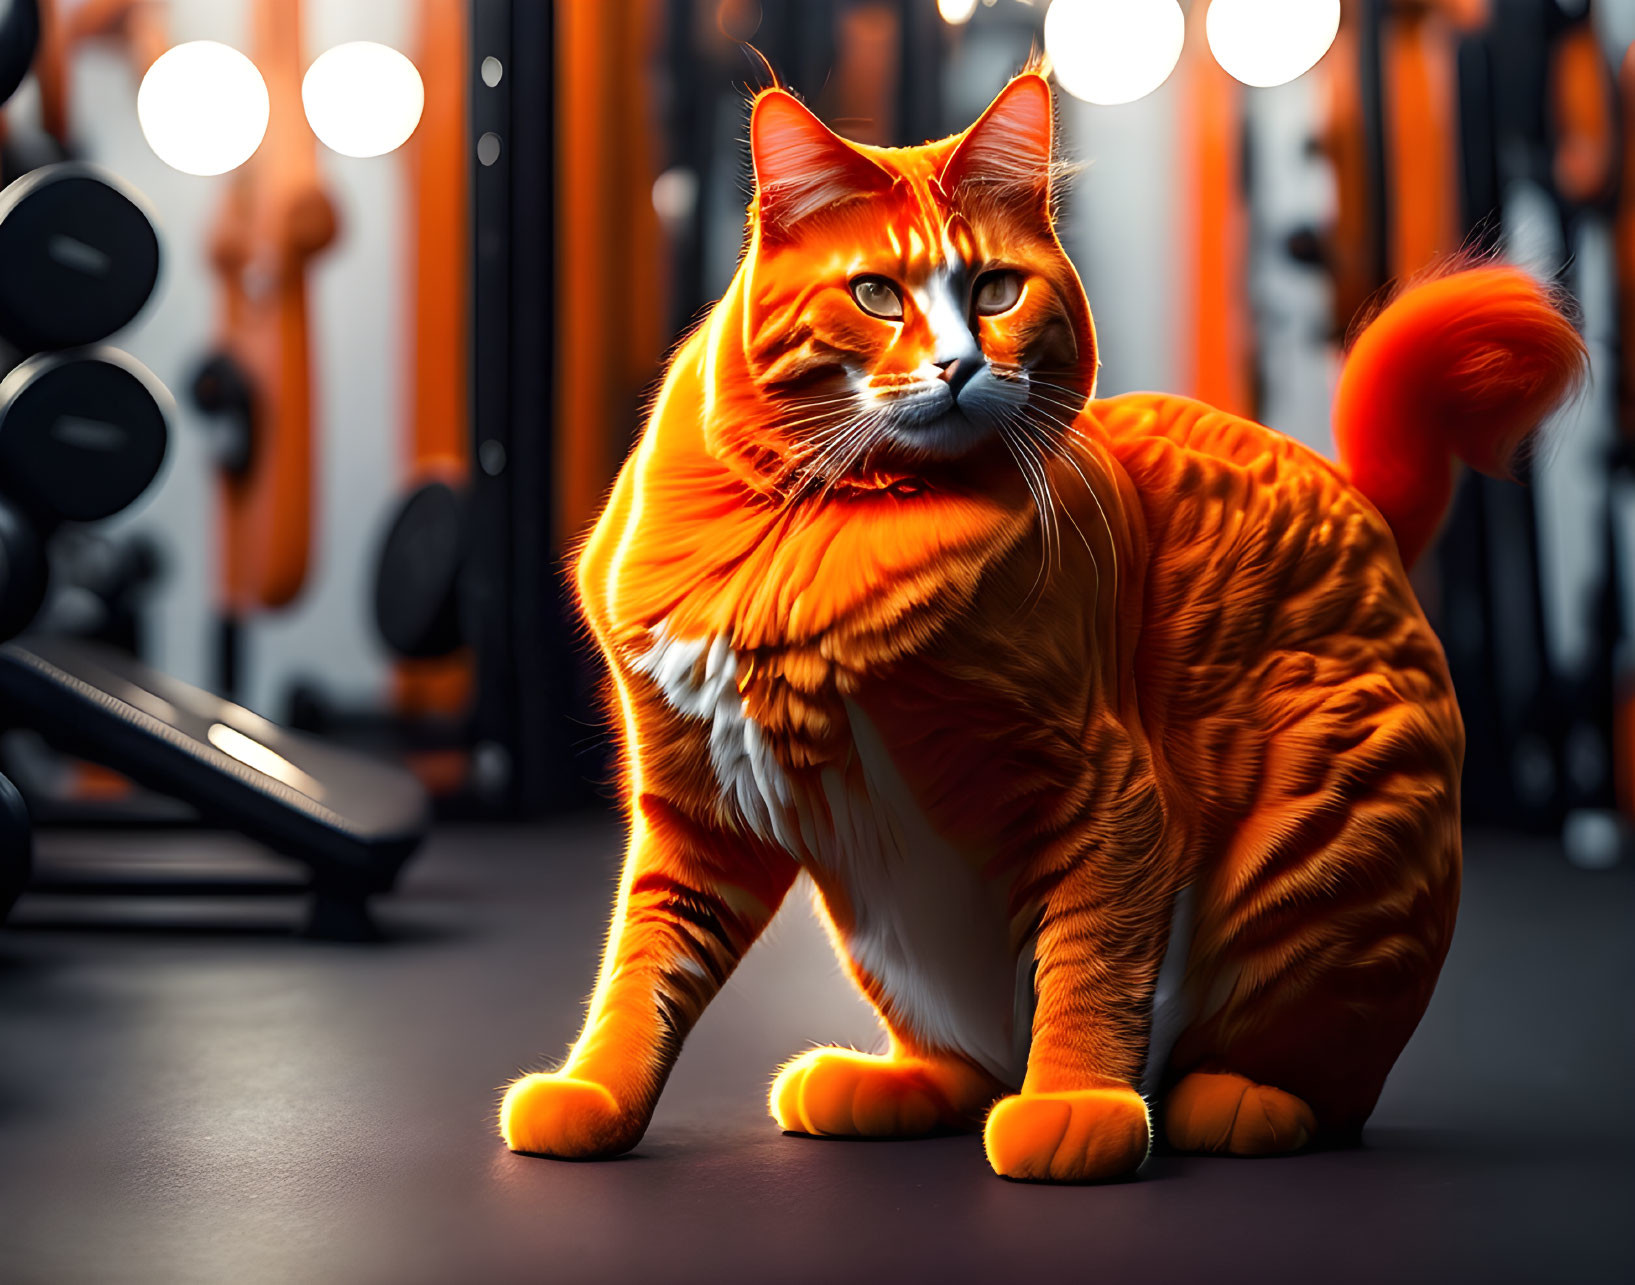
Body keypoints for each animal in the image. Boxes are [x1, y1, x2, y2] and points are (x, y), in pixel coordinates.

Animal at [500, 67, 1582, 1170]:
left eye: (994, 292)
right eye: (877, 295)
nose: (959, 366)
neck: (816, 523)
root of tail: (1348, 490)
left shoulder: (1103, 787)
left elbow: (1089, 964)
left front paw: (1076, 1105)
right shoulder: (697, 804)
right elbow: (644, 964)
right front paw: (594, 1091)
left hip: (1323, 862)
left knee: (1325, 1079)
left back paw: (1235, 1100)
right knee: (964, 1064)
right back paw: (876, 1082)